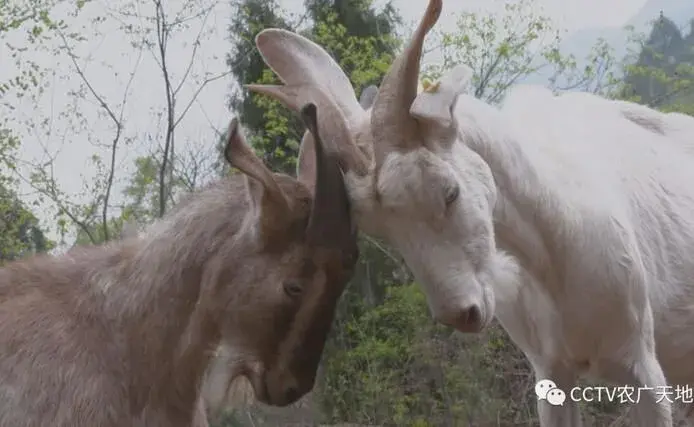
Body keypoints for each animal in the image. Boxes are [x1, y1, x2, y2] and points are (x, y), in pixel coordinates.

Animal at [241, 1, 694, 426]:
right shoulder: (552, 371)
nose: (463, 314)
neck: (551, 246)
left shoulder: (641, 365)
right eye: (382, 230)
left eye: (450, 192)